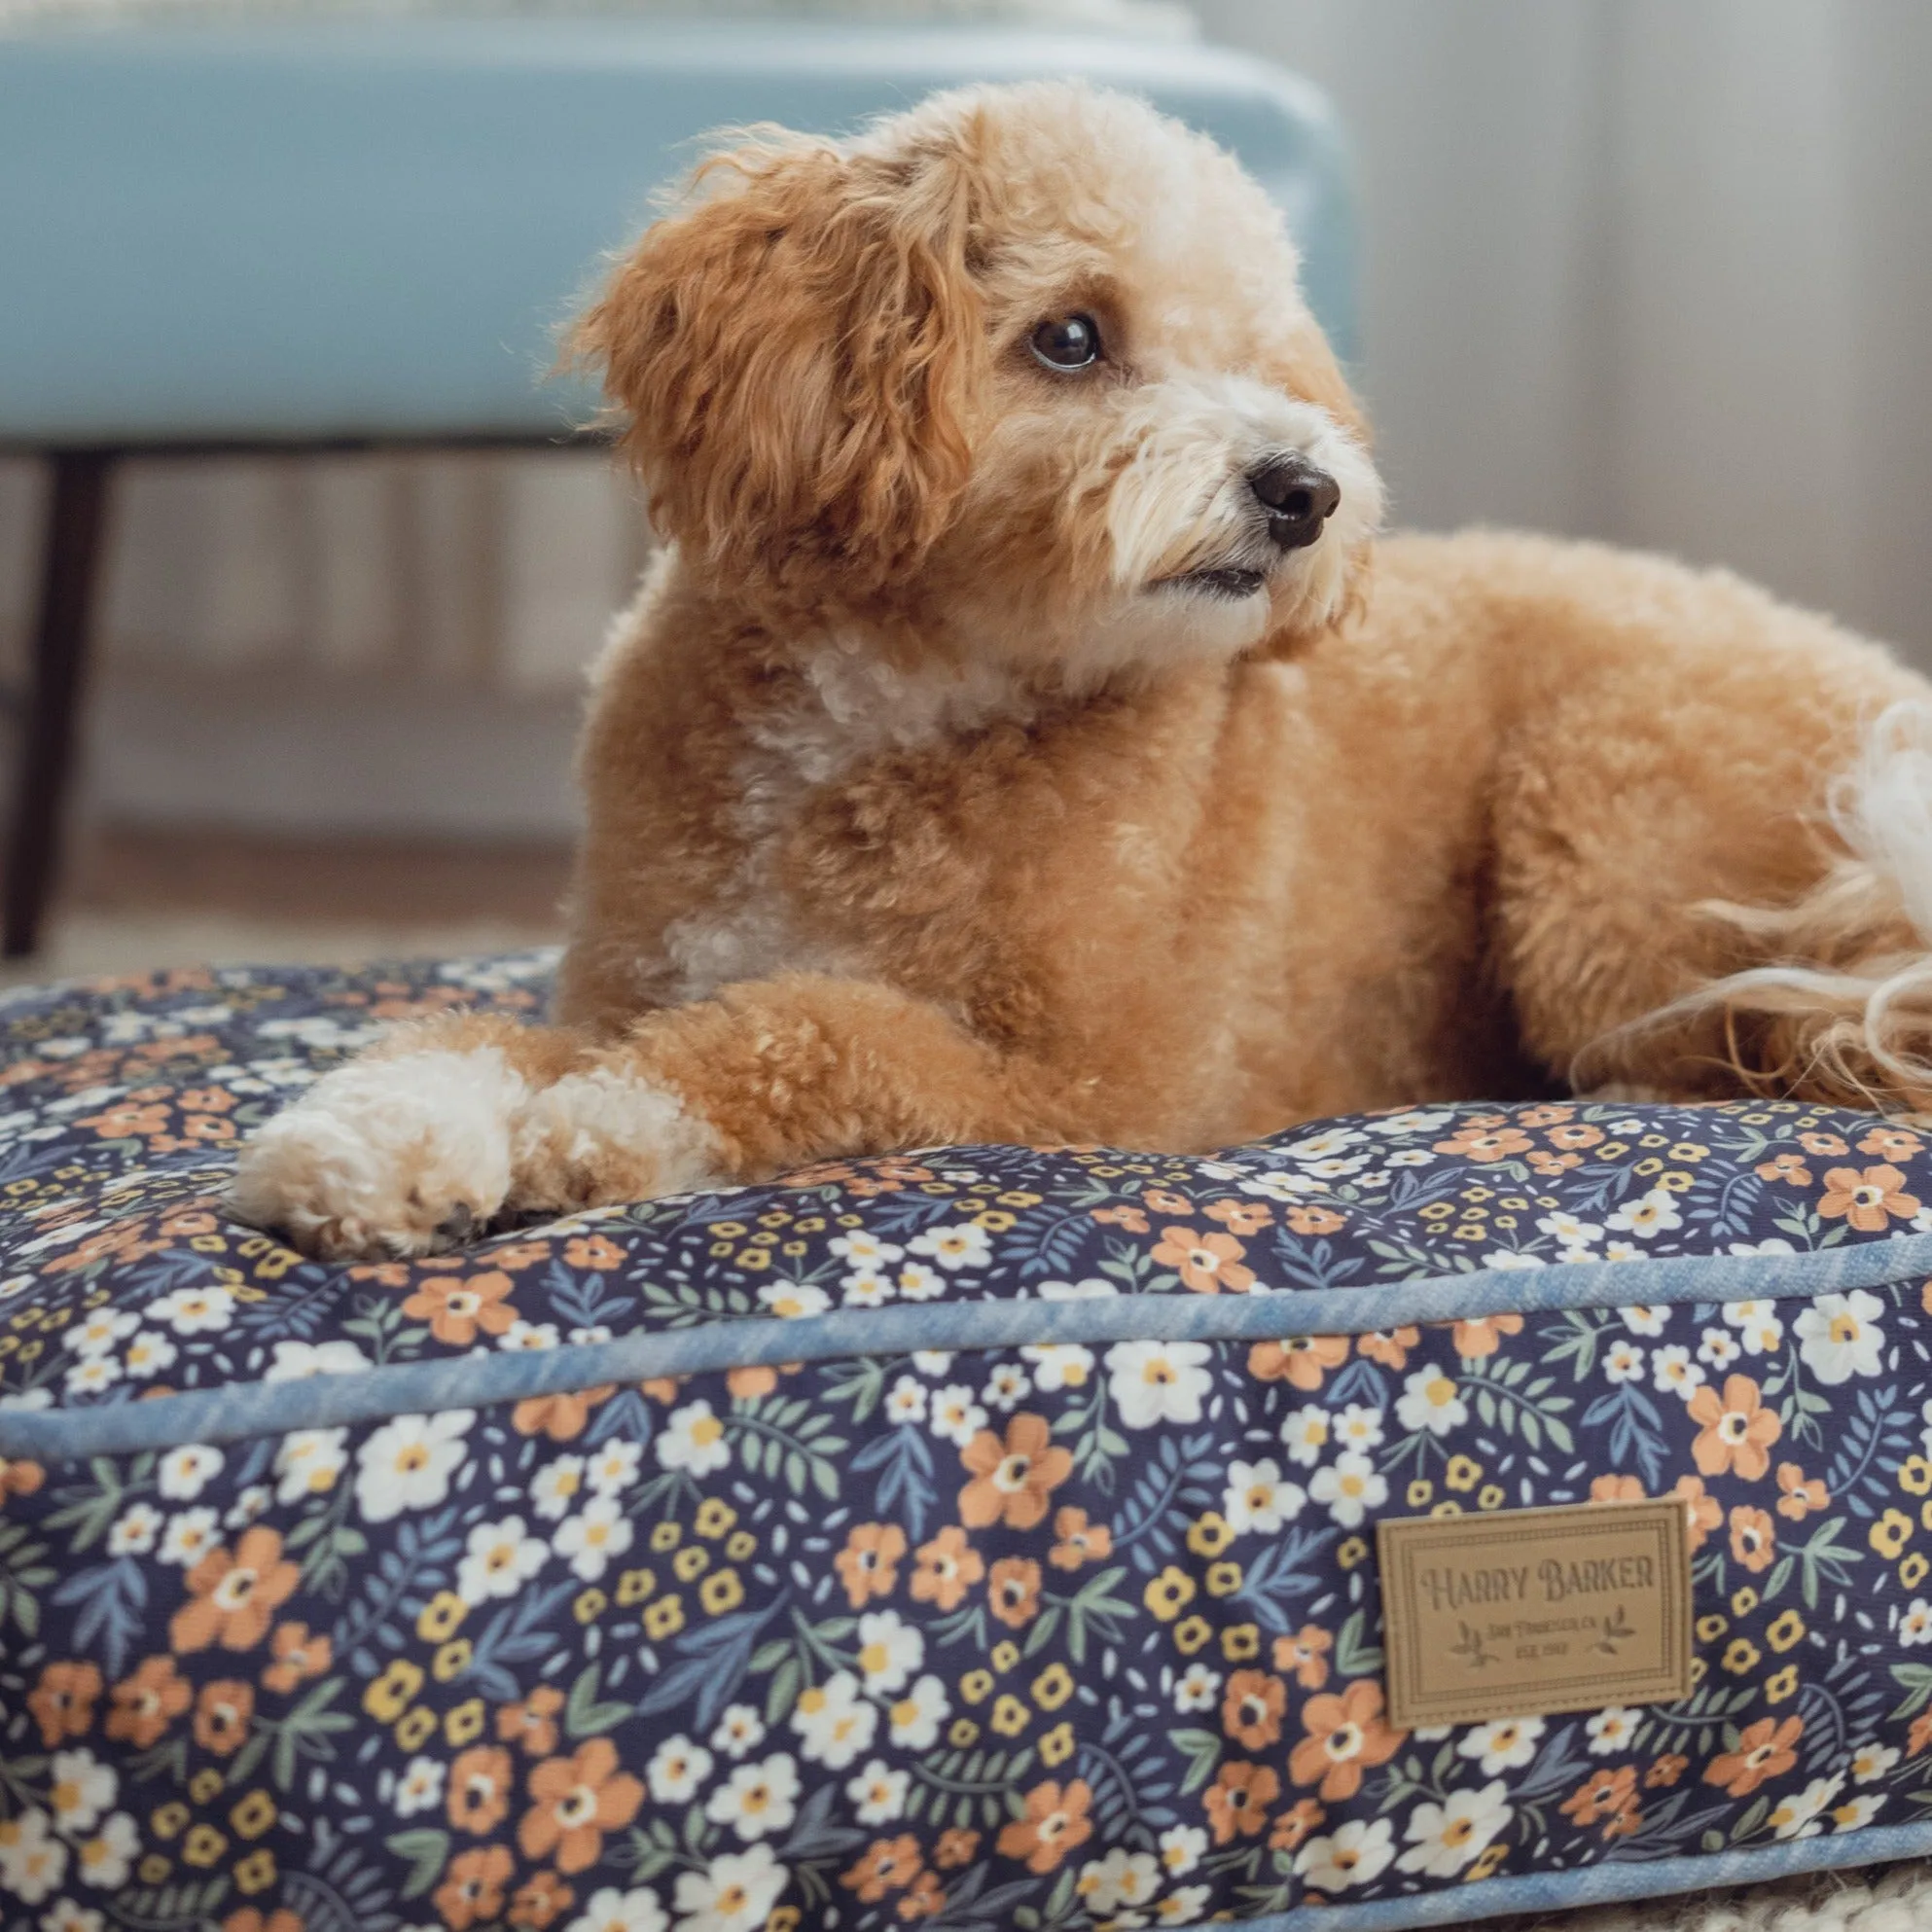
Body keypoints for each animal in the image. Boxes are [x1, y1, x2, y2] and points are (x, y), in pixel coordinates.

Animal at [237, 75, 1932, 1259]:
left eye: (1262, 356)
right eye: (1069, 337)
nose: (1303, 489)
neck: (895, 709)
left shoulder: (1101, 1092)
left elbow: (824, 1027)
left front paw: (603, 1121)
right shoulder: (623, 973)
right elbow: (454, 1034)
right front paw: (369, 1143)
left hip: (1591, 842)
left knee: (1731, 1049)